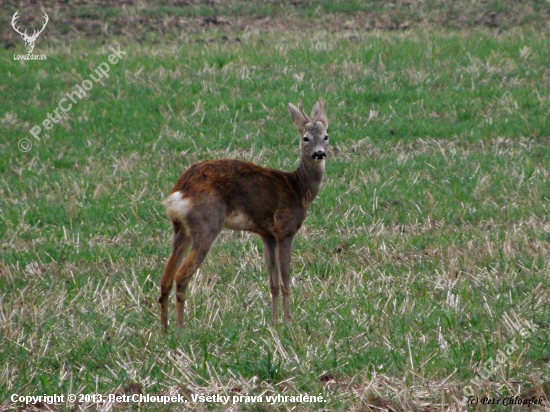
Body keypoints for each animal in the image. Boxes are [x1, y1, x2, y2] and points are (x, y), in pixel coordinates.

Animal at [162, 100, 330, 332]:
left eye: (326, 136)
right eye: (305, 138)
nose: (319, 153)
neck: (298, 188)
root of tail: (180, 190)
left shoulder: (267, 234)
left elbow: (273, 282)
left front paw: (274, 321)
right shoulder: (285, 229)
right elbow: (286, 280)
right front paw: (288, 321)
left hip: (181, 229)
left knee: (165, 278)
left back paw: (164, 330)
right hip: (207, 223)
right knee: (181, 275)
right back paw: (180, 329)